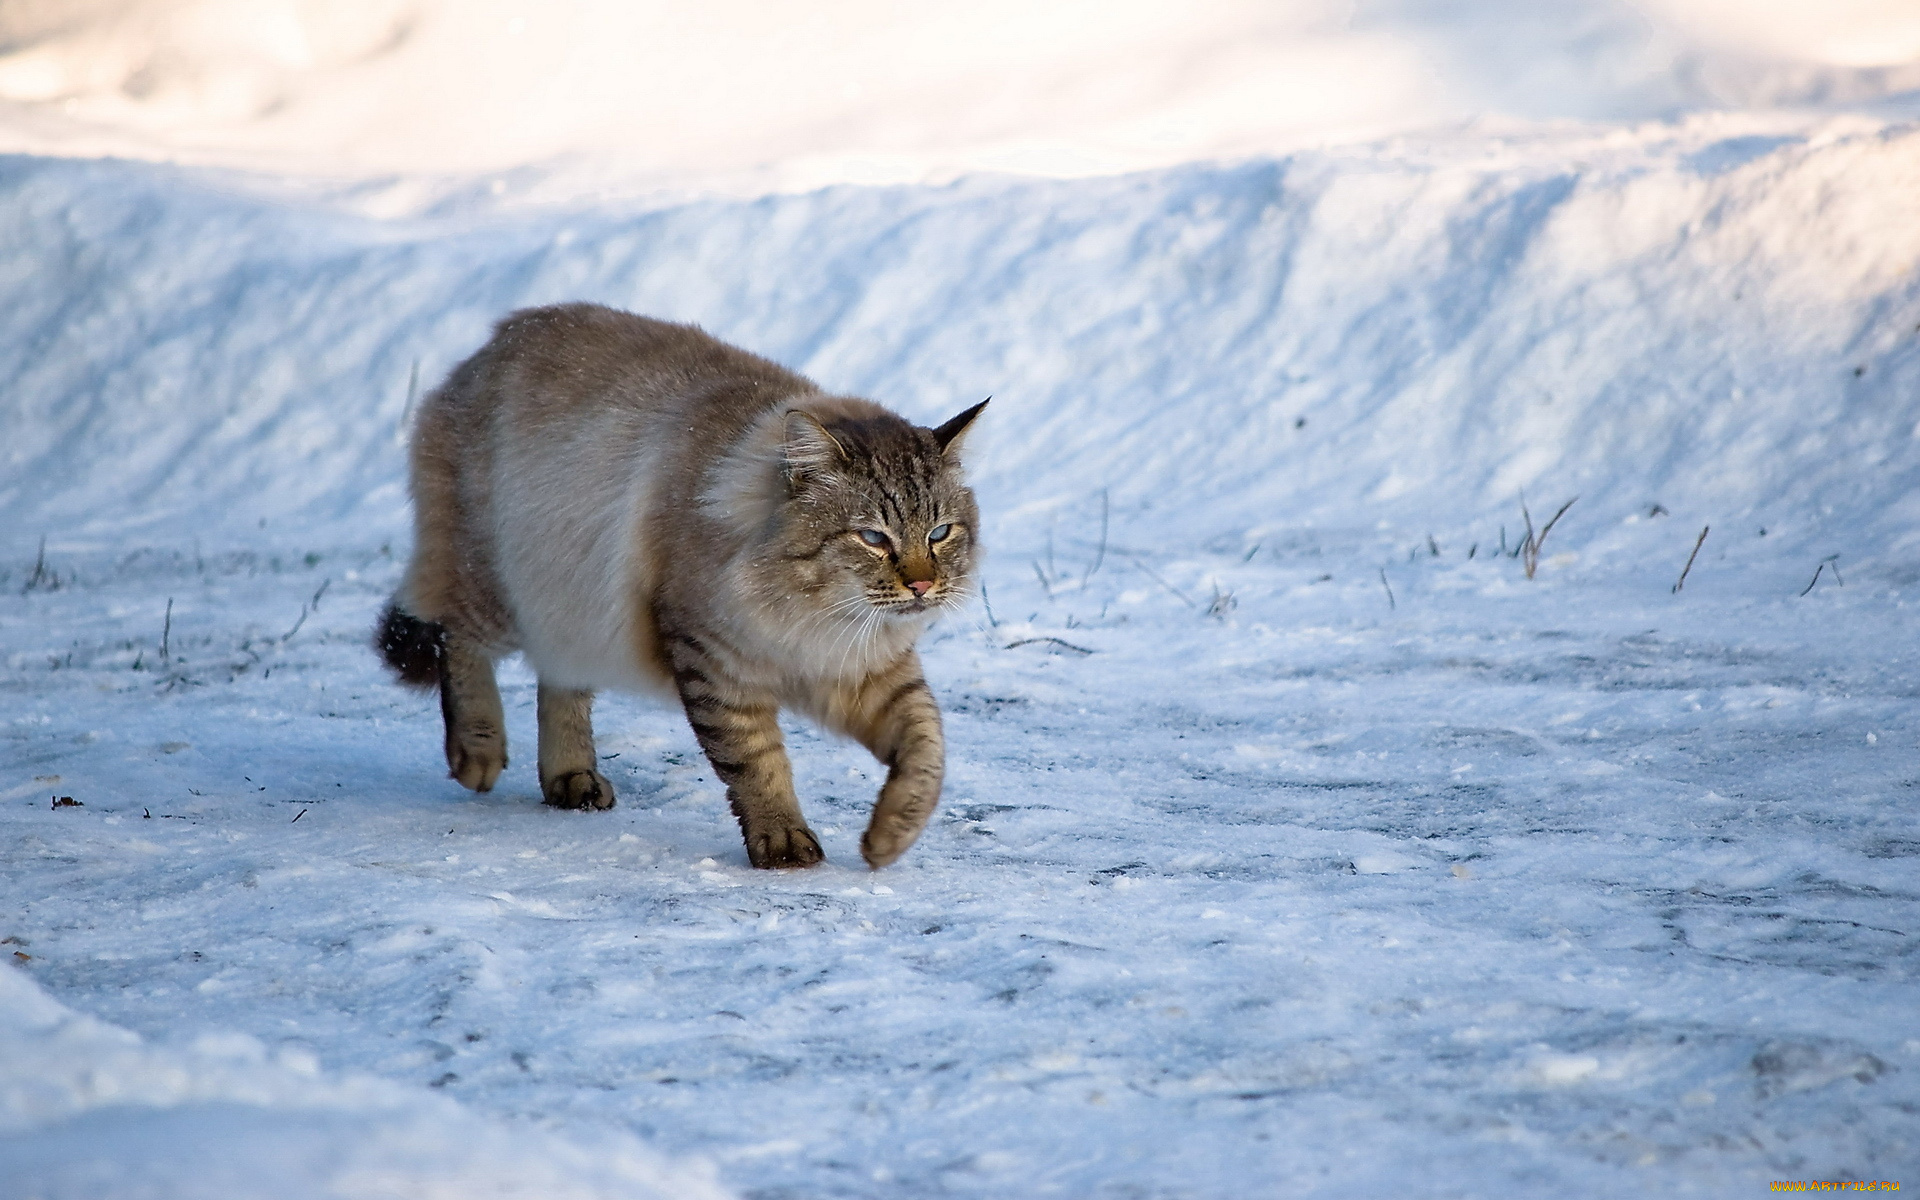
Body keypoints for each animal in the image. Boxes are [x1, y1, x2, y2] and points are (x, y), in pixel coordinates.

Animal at [370, 303, 990, 864]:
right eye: (873, 538)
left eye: (938, 533)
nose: (922, 586)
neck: (810, 615)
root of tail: (494, 341)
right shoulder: (716, 663)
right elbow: (757, 764)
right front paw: (783, 842)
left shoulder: (869, 671)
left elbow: (927, 750)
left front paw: (890, 837)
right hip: (497, 587)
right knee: (456, 637)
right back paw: (477, 751)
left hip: (568, 606)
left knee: (558, 684)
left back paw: (571, 779)